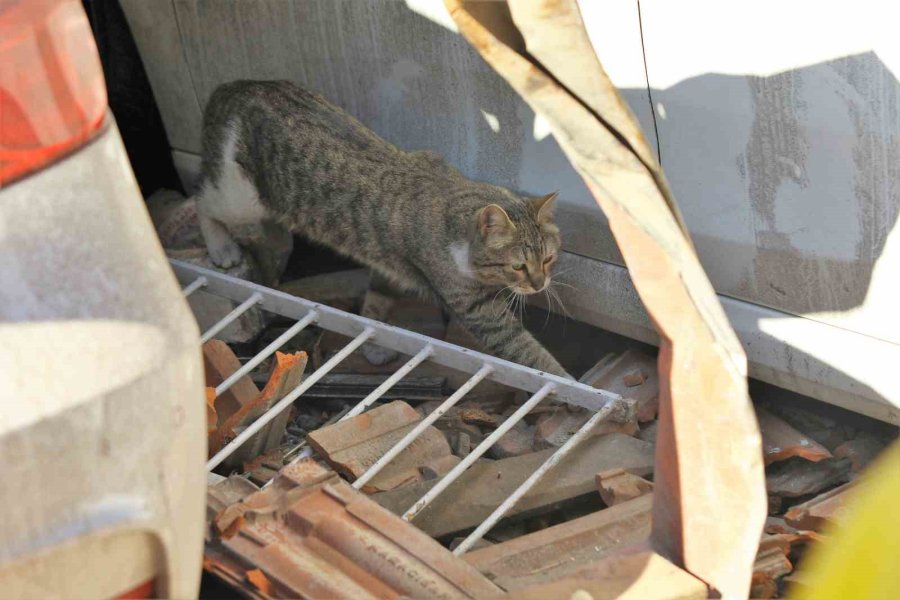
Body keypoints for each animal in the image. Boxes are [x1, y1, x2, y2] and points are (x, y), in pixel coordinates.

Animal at [199, 81, 568, 376]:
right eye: (518, 267)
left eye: (548, 260)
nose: (540, 284)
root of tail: (234, 87)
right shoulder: (478, 311)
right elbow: (528, 351)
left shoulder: (389, 263)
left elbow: (377, 301)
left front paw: (374, 345)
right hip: (240, 198)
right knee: (203, 200)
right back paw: (222, 247)